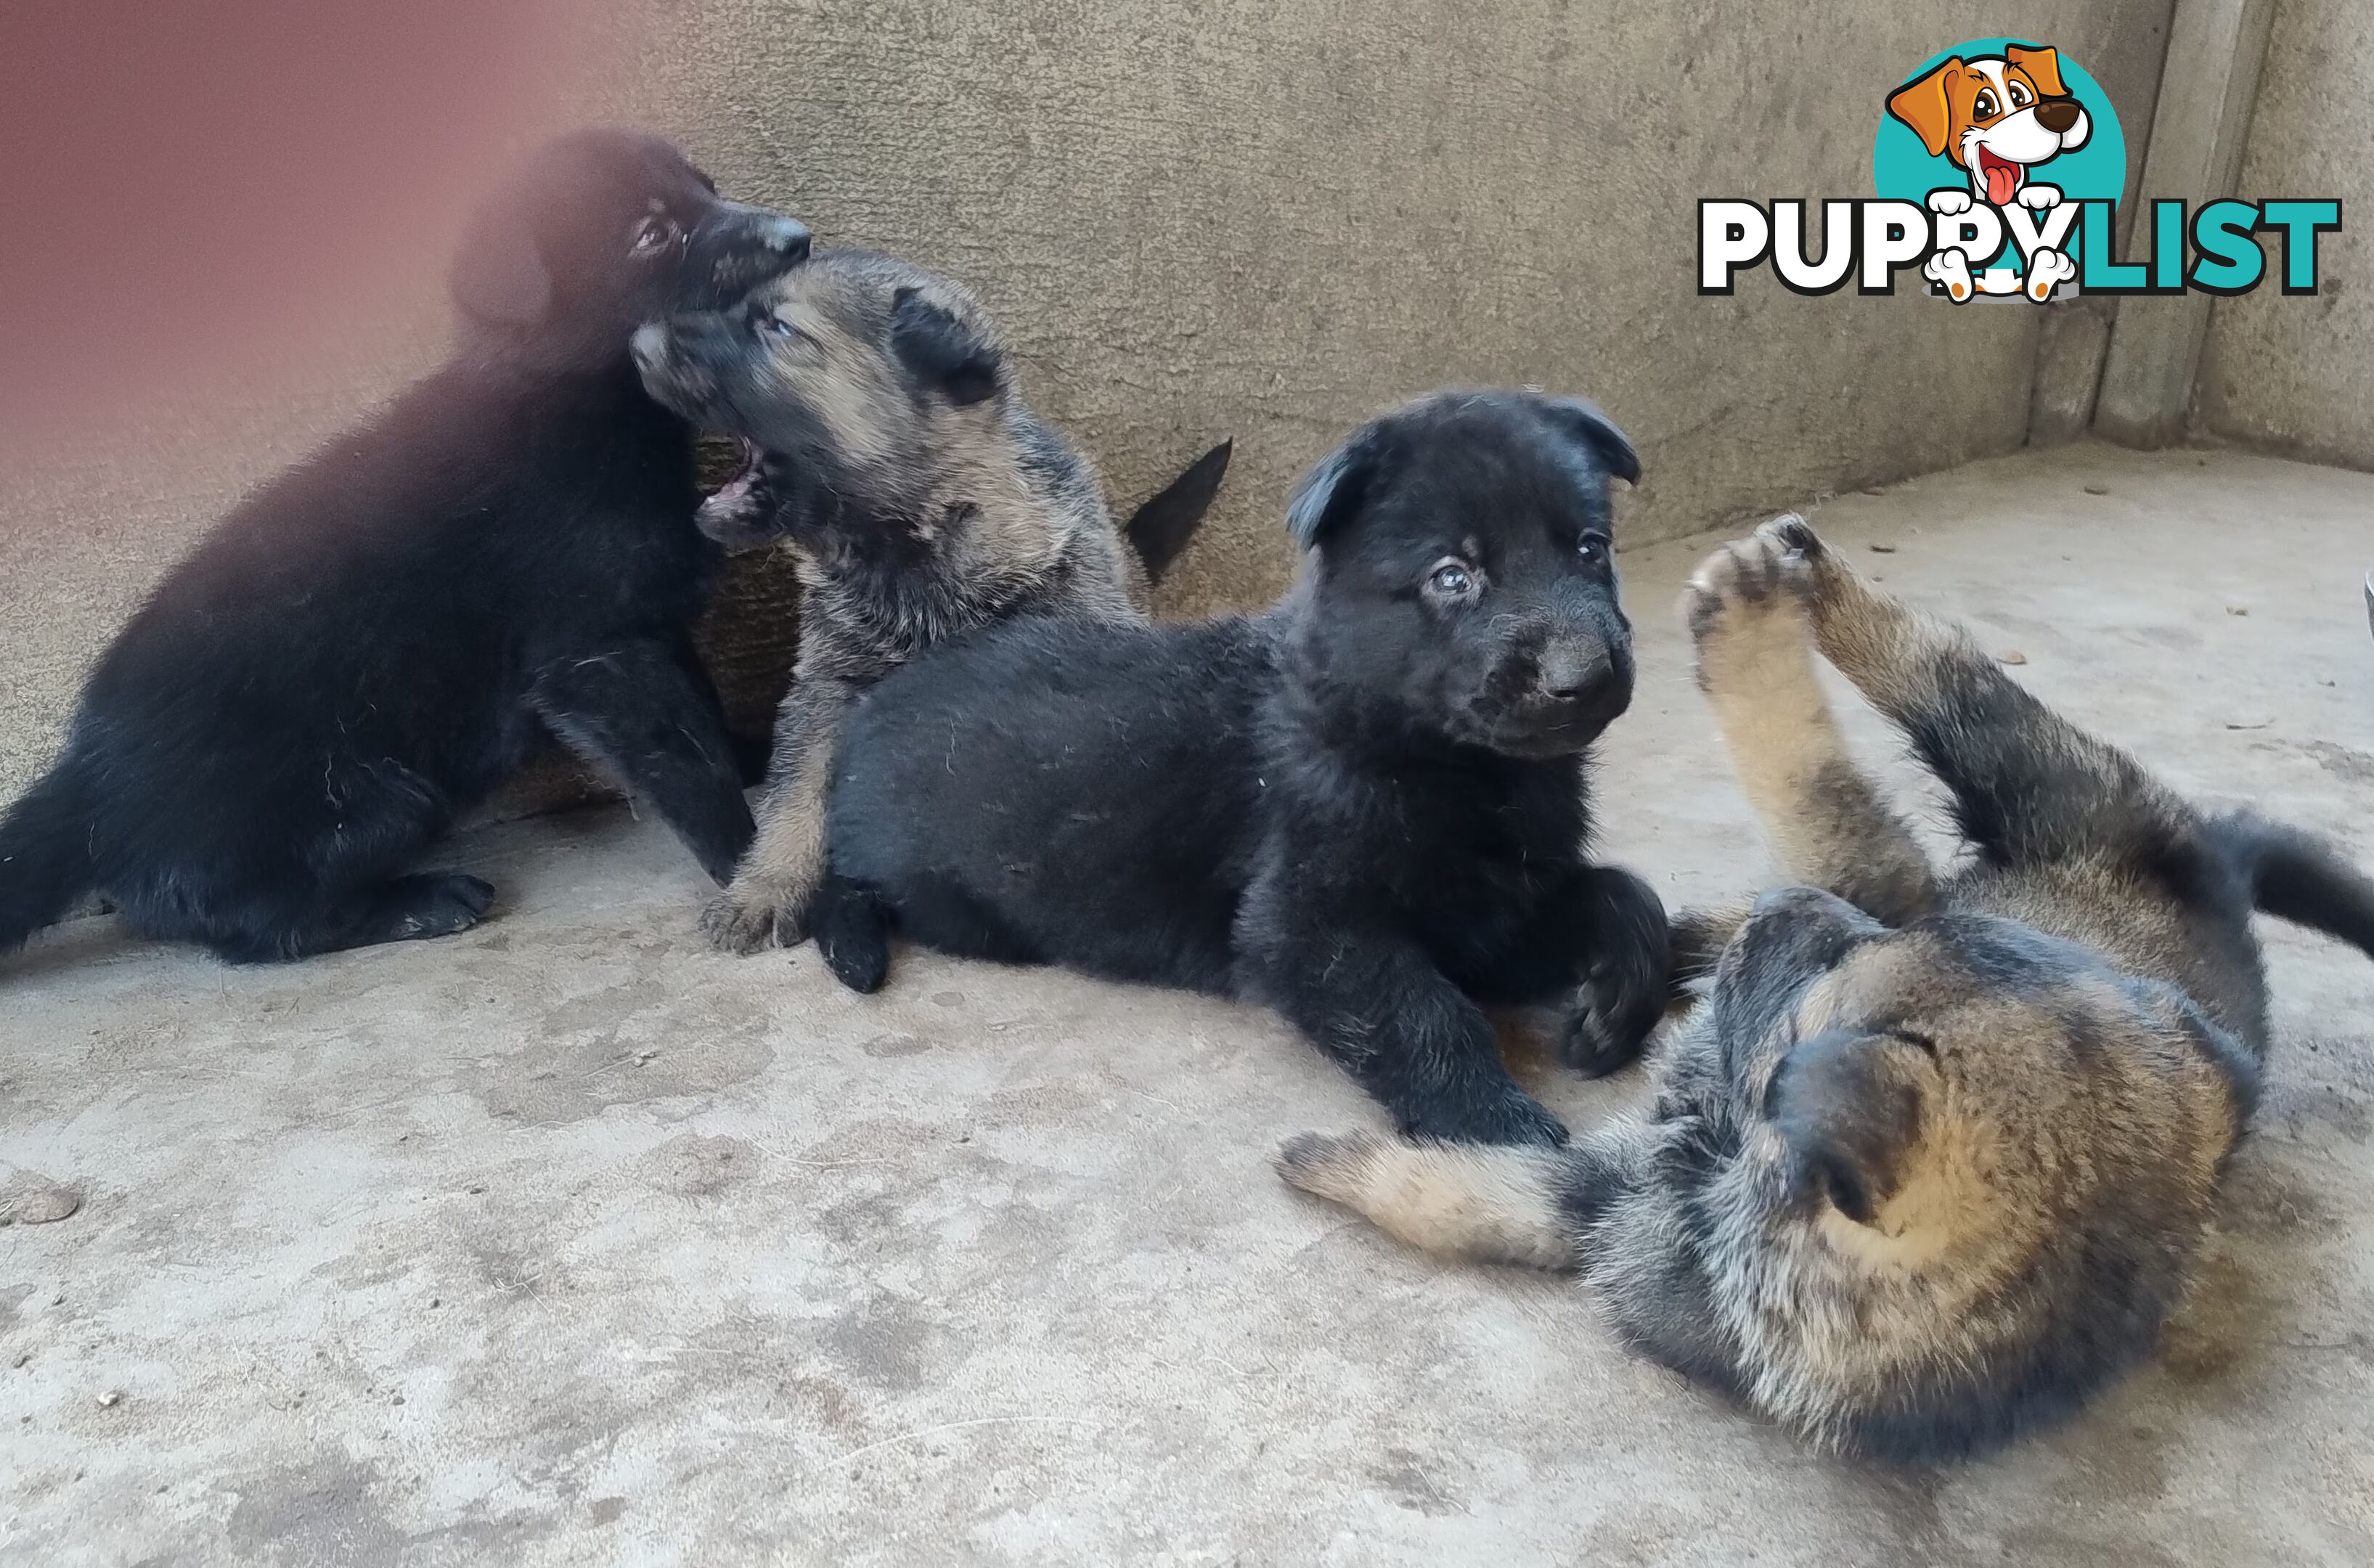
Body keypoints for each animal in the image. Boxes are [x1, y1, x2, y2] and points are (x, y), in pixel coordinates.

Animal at [0, 131, 807, 968]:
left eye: (708, 190)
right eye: (652, 234)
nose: (799, 238)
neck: (574, 400)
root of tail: (87, 781)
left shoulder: (651, 625)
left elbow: (703, 716)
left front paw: (753, 760)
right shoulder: (598, 653)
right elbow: (683, 764)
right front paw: (749, 867)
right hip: (377, 799)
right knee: (250, 926)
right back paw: (416, 904)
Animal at [631, 250, 1225, 949]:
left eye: (778, 328)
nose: (636, 342)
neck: (920, 548)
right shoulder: (826, 691)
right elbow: (795, 796)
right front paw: (766, 888)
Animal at [816, 384, 1671, 1143]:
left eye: (1591, 548)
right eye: (1452, 576)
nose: (1585, 676)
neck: (1459, 771)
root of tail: (864, 717)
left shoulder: (1490, 911)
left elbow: (1622, 894)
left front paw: (1619, 999)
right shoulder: (1309, 929)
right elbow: (1424, 1014)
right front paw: (1496, 1124)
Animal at [1281, 519, 2374, 1461]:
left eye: (1814, 994)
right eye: (1875, 949)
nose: (1789, 910)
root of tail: (2221, 874)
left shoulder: (1629, 1202)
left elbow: (1480, 1196)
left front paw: (1335, 1165)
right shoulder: (1887, 906)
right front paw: (1335, 1159)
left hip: (2051, 787)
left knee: (1948, 681)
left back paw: (1767, 603)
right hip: (2034, 799)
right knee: (1945, 685)